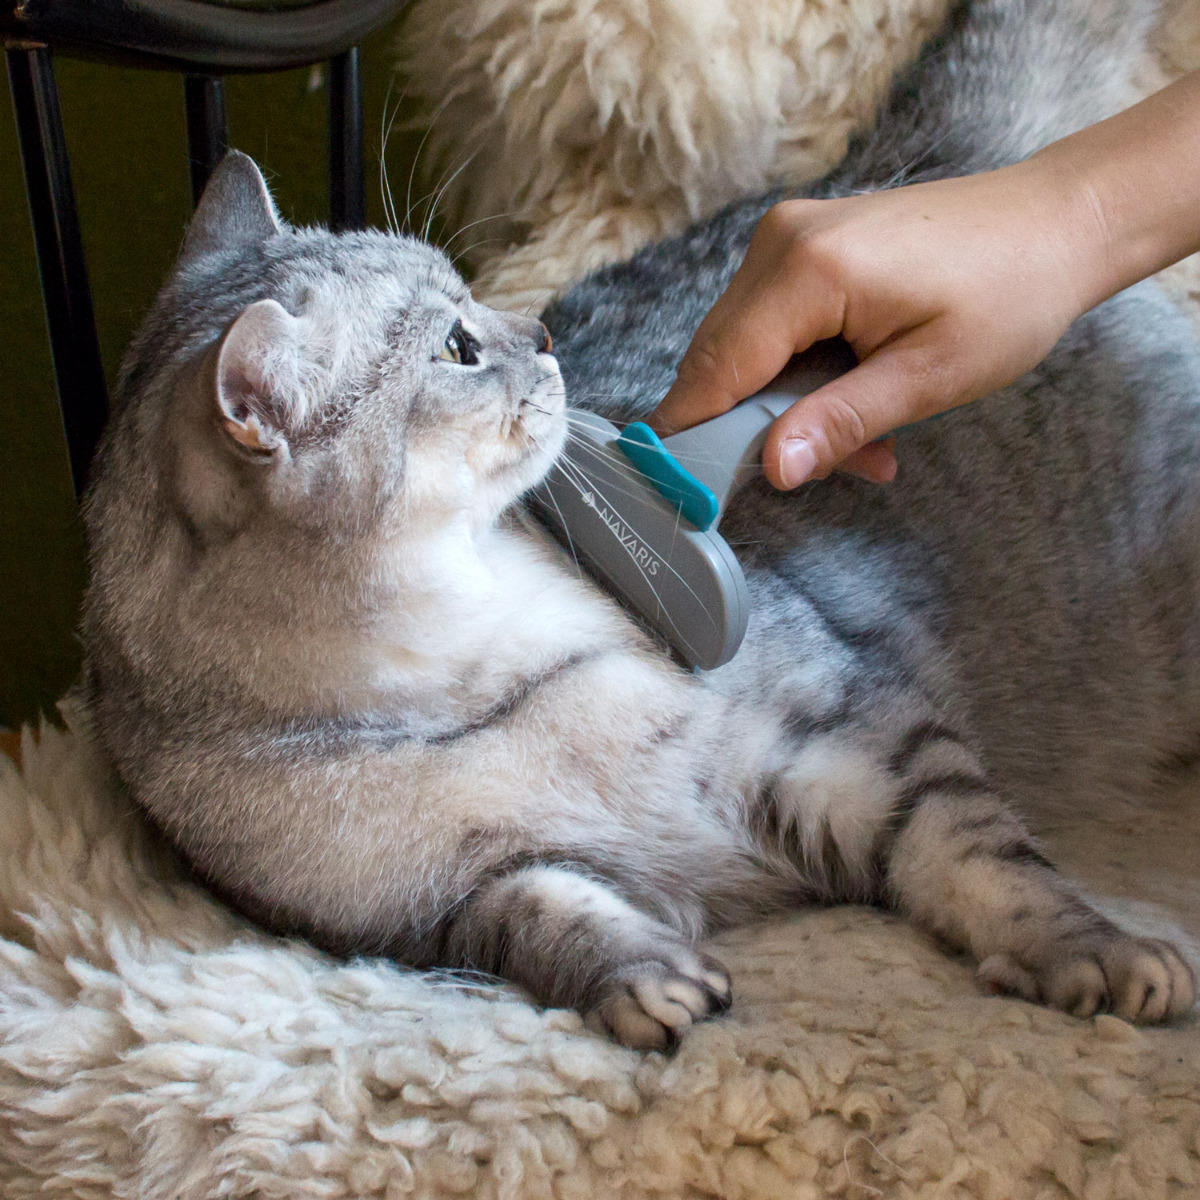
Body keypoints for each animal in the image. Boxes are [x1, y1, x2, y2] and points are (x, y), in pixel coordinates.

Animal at [79, 0, 1195, 1051]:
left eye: (475, 296)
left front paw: (1091, 949)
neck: (456, 684)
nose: (542, 331)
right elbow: (550, 916)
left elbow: (981, 859)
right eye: (454, 346)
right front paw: (648, 979)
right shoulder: (430, 906)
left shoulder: (851, 737)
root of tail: (914, 161)